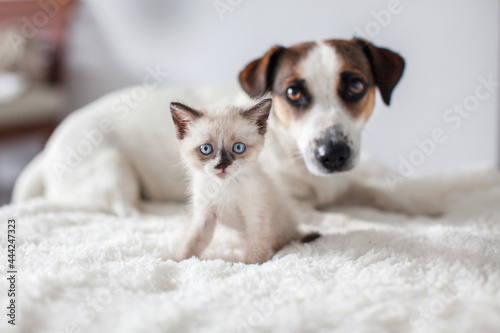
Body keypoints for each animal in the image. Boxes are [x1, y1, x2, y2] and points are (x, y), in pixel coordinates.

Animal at [13, 38, 420, 215]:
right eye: (292, 92)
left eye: (356, 86)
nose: (333, 154)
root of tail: (46, 152)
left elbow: (386, 192)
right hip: (112, 170)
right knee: (128, 211)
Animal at [171, 98, 316, 264]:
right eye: (206, 149)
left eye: (238, 147)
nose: (223, 164)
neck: (225, 186)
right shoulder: (205, 216)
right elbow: (191, 242)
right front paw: (178, 260)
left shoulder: (255, 215)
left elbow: (255, 247)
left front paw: (250, 264)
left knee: (285, 241)